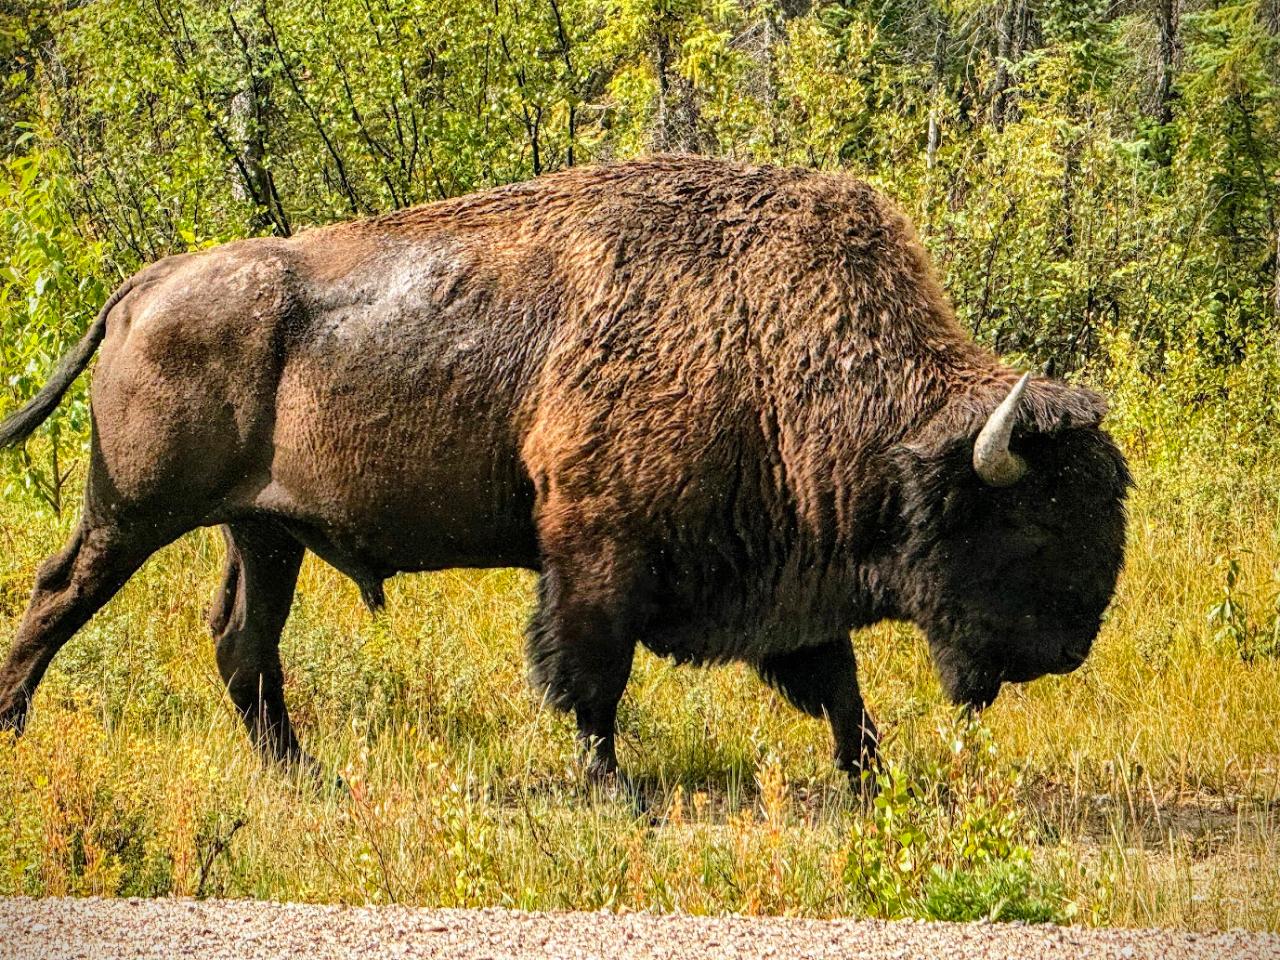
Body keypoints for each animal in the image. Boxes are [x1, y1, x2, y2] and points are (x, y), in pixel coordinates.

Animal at [0, 156, 1129, 786]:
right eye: (1031, 518)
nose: (1069, 648)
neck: (784, 351)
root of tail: (151, 279)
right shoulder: (595, 553)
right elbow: (592, 678)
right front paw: (612, 789)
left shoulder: (788, 586)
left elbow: (837, 687)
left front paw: (874, 781)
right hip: (133, 512)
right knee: (60, 594)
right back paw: (15, 726)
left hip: (263, 532)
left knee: (243, 644)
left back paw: (302, 773)